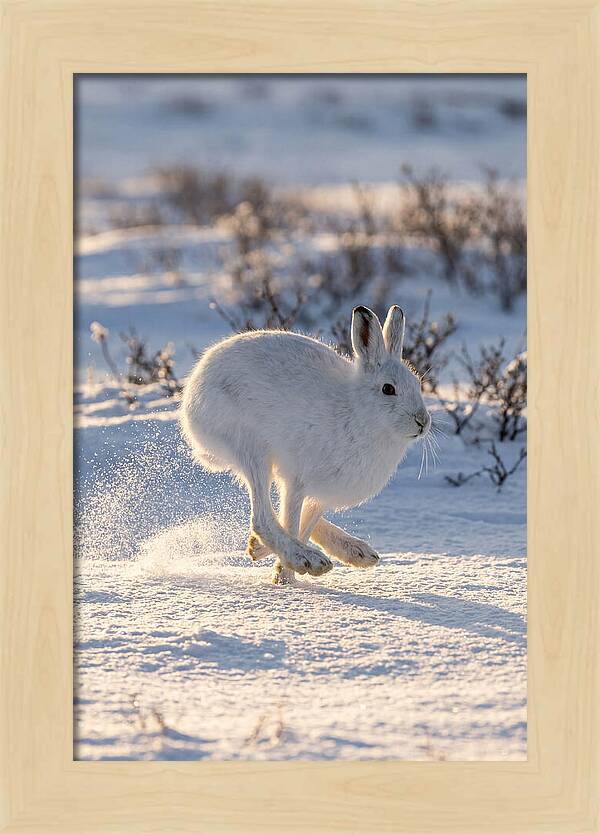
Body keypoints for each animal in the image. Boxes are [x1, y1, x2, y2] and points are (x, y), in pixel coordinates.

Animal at [180, 305, 431, 584]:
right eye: (388, 389)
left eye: (417, 384)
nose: (423, 421)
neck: (358, 412)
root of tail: (192, 393)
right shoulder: (298, 480)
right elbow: (291, 521)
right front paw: (286, 578)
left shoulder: (321, 493)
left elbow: (305, 523)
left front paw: (278, 568)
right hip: (251, 448)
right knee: (262, 517)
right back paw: (306, 558)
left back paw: (354, 552)